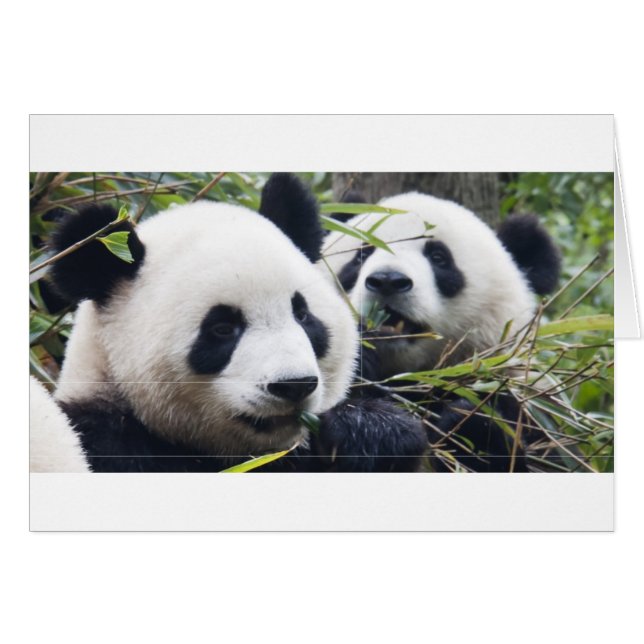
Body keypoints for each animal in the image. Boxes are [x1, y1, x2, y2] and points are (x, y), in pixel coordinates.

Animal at [322, 191, 561, 472]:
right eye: (361, 256)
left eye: (439, 258)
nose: (387, 280)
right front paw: (374, 429)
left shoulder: (526, 405)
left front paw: (471, 429)